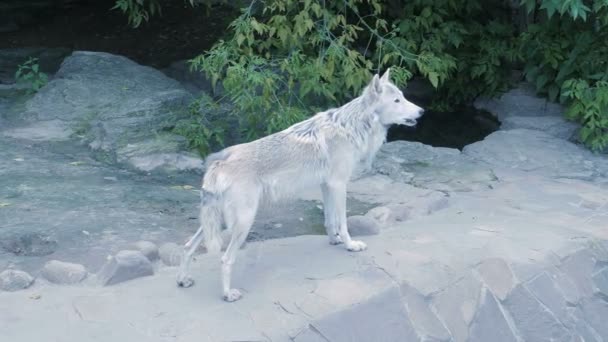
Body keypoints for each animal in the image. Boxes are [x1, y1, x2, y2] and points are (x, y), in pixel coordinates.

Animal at [176, 68, 422, 300]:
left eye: (403, 97)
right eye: (397, 100)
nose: (422, 111)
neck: (351, 127)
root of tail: (218, 162)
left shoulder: (326, 185)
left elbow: (329, 220)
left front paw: (333, 240)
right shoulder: (339, 184)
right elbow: (343, 222)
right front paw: (350, 245)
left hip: (217, 222)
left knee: (187, 246)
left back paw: (183, 280)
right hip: (243, 221)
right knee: (225, 258)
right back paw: (228, 294)